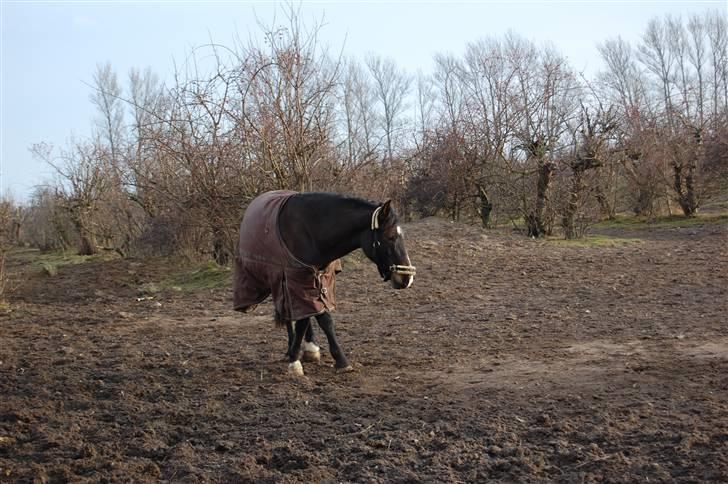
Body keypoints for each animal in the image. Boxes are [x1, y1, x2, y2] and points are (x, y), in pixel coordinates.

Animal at [233, 191, 416, 376]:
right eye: (390, 237)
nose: (407, 279)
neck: (311, 232)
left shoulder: (318, 281)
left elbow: (315, 318)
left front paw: (328, 357)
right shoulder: (294, 280)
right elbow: (315, 319)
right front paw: (295, 361)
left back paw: (309, 348)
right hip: (280, 281)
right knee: (289, 313)